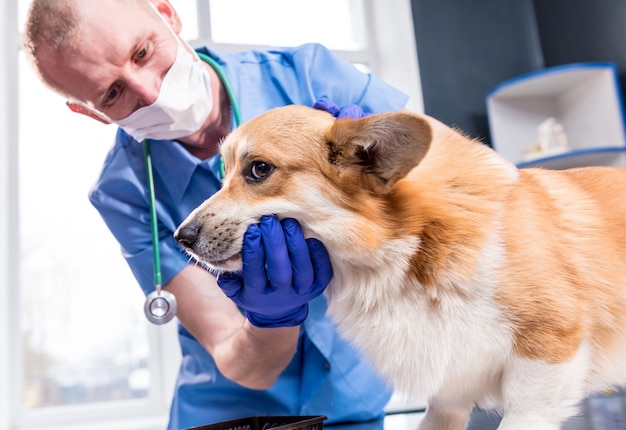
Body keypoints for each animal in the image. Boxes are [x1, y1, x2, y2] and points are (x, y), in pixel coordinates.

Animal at [173, 105, 624, 430]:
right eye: (223, 174)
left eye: (260, 169)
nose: (180, 237)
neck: (410, 249)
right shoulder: (449, 388)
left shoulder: (547, 356)